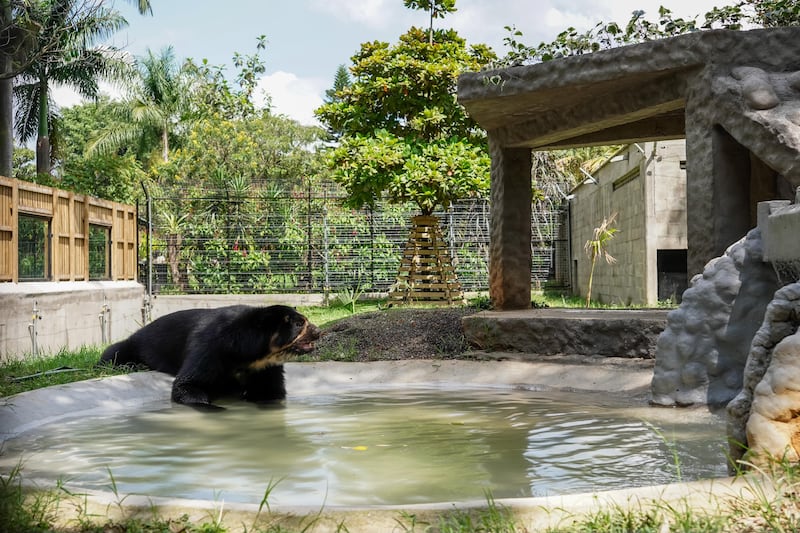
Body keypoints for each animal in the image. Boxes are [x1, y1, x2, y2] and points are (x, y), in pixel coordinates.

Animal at [101, 304, 320, 408]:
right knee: (113, 353)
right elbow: (188, 384)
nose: (318, 332)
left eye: (306, 321)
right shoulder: (210, 348)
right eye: (299, 324)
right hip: (134, 345)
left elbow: (271, 390)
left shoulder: (266, 366)